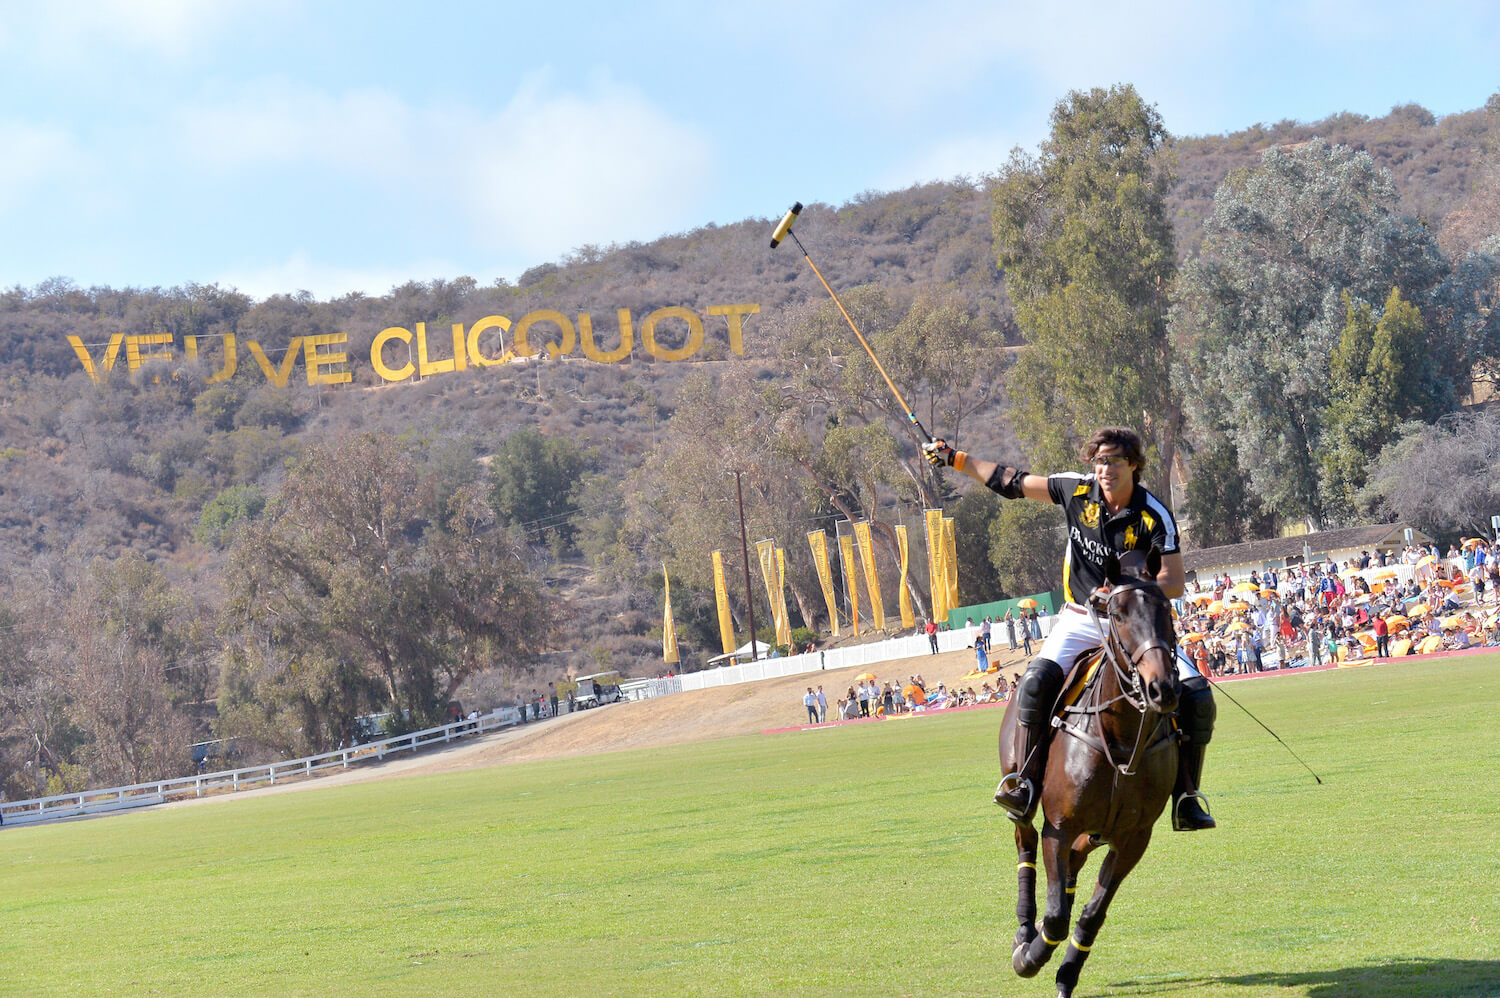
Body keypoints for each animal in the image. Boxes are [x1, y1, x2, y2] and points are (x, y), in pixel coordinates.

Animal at [996, 549, 1182, 990]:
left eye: (1166, 608)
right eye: (1116, 614)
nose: (1162, 688)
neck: (1121, 734)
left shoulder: (1134, 838)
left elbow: (1091, 914)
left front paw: (1066, 975)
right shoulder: (1059, 827)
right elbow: (1056, 918)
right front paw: (1030, 956)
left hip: (1100, 830)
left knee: (1075, 862)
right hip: (1021, 789)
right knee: (1025, 842)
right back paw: (1024, 929)